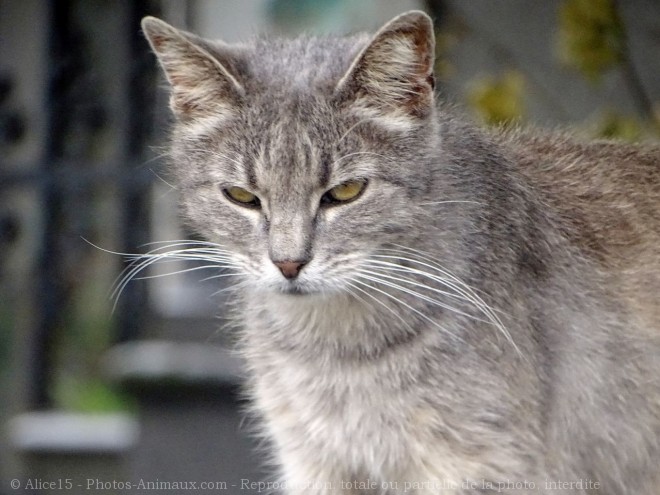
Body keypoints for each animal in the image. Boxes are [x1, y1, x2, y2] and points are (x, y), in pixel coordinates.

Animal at [139, 9, 660, 494]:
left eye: (346, 192)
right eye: (241, 196)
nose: (288, 263)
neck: (336, 354)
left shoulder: (484, 467)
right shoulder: (315, 465)